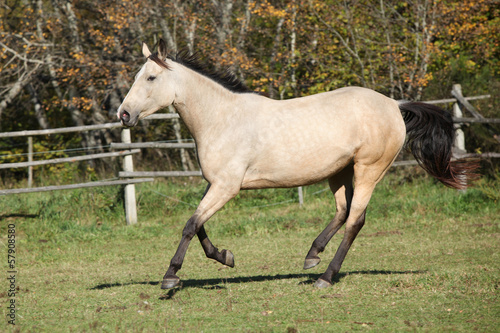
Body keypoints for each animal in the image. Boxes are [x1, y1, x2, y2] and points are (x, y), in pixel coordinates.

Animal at [117, 39, 476, 288]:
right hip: (339, 172)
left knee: (355, 221)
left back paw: (326, 276)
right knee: (342, 211)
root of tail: (393, 104)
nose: (123, 114)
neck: (222, 118)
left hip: (369, 170)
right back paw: (312, 255)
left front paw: (170, 276)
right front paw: (225, 257)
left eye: (150, 78)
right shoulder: (215, 184)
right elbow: (199, 223)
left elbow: (191, 225)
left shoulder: (227, 187)